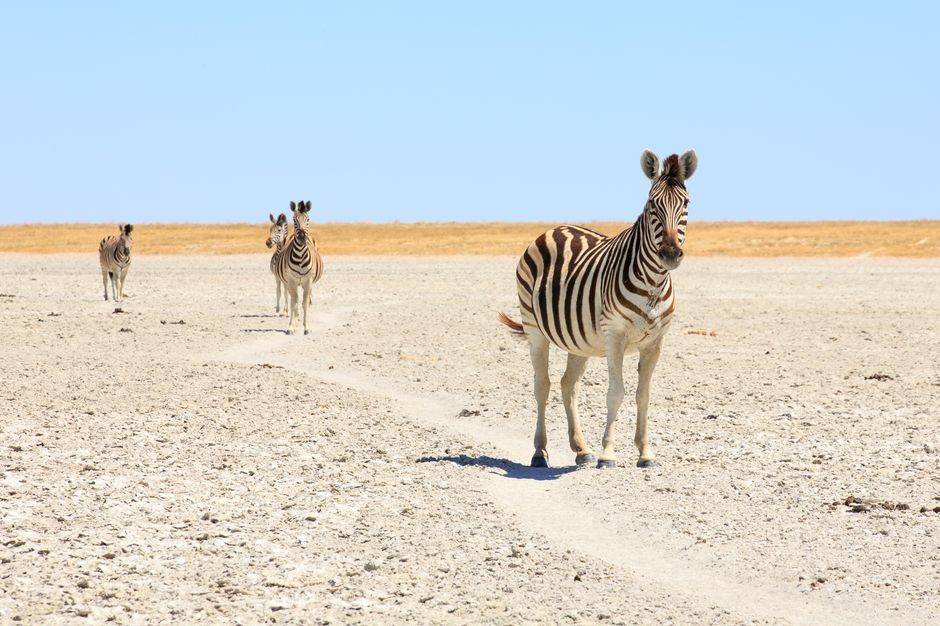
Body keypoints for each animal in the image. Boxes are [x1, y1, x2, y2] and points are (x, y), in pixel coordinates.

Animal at [274, 202, 324, 334]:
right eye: (294, 220)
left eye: (308, 219)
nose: (302, 237)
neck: (301, 255)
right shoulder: (291, 281)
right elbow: (294, 303)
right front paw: (291, 327)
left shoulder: (308, 281)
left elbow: (305, 303)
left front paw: (306, 328)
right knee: (294, 300)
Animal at [500, 147, 696, 468]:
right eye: (652, 204)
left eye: (686, 204)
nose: (669, 254)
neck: (653, 283)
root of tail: (556, 228)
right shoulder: (615, 336)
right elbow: (616, 393)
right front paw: (608, 454)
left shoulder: (655, 342)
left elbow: (643, 395)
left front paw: (645, 453)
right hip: (534, 330)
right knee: (543, 386)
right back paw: (540, 452)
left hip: (579, 341)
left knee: (568, 385)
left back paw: (581, 449)